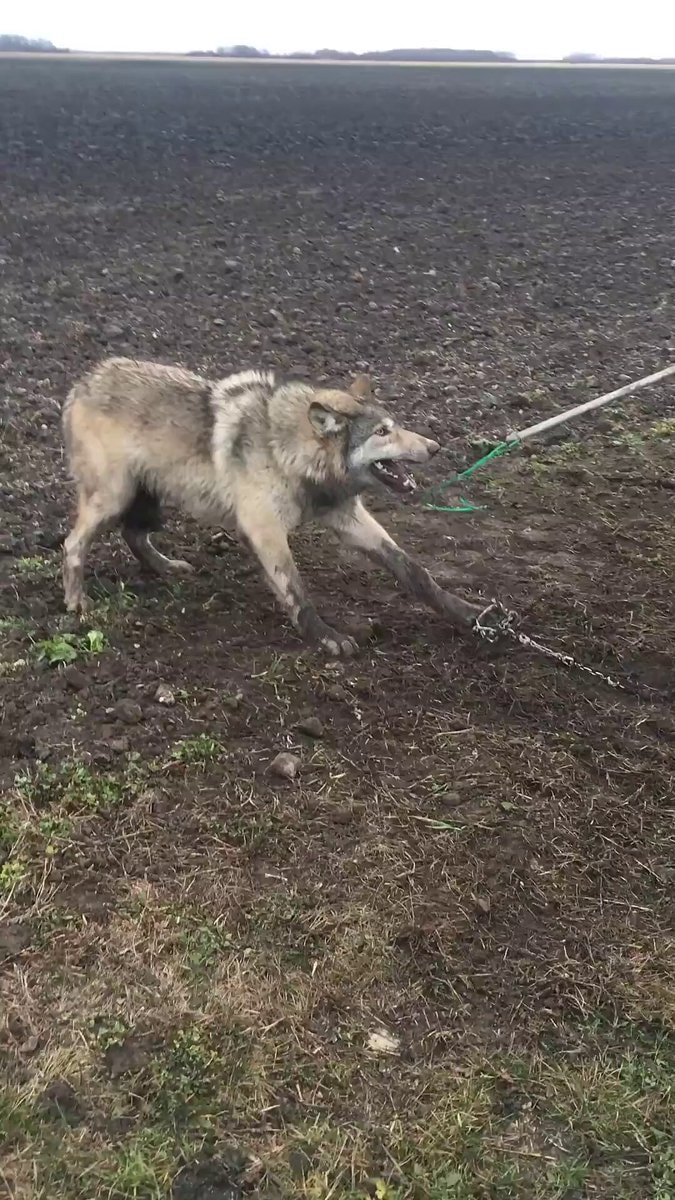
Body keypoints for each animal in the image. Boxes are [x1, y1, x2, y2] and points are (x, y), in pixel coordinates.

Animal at [62, 357, 483, 655]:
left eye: (394, 426)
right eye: (382, 432)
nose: (434, 447)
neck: (289, 451)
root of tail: (81, 384)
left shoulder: (349, 518)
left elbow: (414, 571)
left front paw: (469, 613)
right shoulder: (264, 530)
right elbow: (296, 590)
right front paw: (327, 638)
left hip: (147, 498)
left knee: (134, 535)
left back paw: (166, 568)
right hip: (114, 497)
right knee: (72, 545)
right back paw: (77, 603)